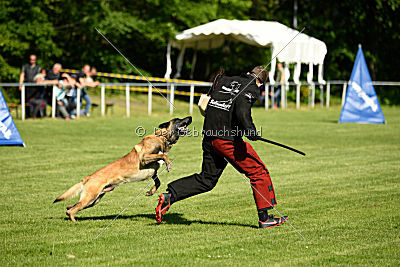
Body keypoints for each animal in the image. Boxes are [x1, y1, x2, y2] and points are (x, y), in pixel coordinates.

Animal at [52, 116, 192, 223]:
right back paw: (74, 221)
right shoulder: (144, 158)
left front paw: (151, 191)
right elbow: (164, 156)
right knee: (72, 210)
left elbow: (158, 181)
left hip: (95, 199)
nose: (190, 117)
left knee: (72, 207)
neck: (163, 138)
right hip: (90, 197)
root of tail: (89, 177)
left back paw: (69, 210)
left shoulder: (153, 171)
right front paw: (168, 164)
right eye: (178, 119)